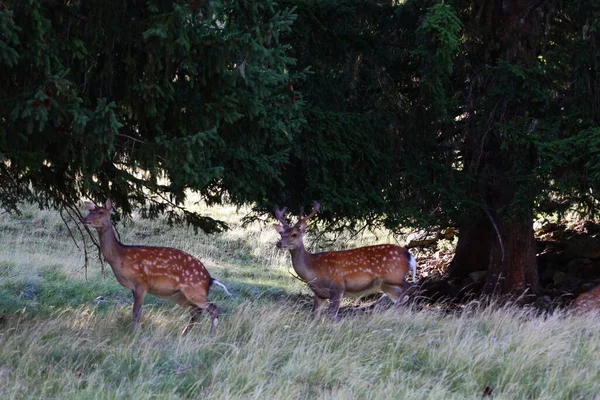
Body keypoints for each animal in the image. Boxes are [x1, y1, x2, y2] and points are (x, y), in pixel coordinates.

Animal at [81, 200, 229, 334]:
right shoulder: (135, 287)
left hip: (195, 290)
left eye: (101, 212)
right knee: (196, 311)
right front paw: (137, 331)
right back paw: (184, 334)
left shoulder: (141, 283)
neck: (120, 257)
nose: (84, 219)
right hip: (179, 294)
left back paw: (211, 335)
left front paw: (134, 333)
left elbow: (136, 311)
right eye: (90, 211)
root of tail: (209, 279)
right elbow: (139, 311)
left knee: (214, 309)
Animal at [274, 202, 418, 318]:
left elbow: (332, 316)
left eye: (294, 234)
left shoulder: (337, 287)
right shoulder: (319, 294)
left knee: (411, 288)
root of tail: (410, 257)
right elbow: (313, 315)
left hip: (395, 276)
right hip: (385, 284)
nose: (279, 243)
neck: (314, 270)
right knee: (401, 296)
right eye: (281, 234)